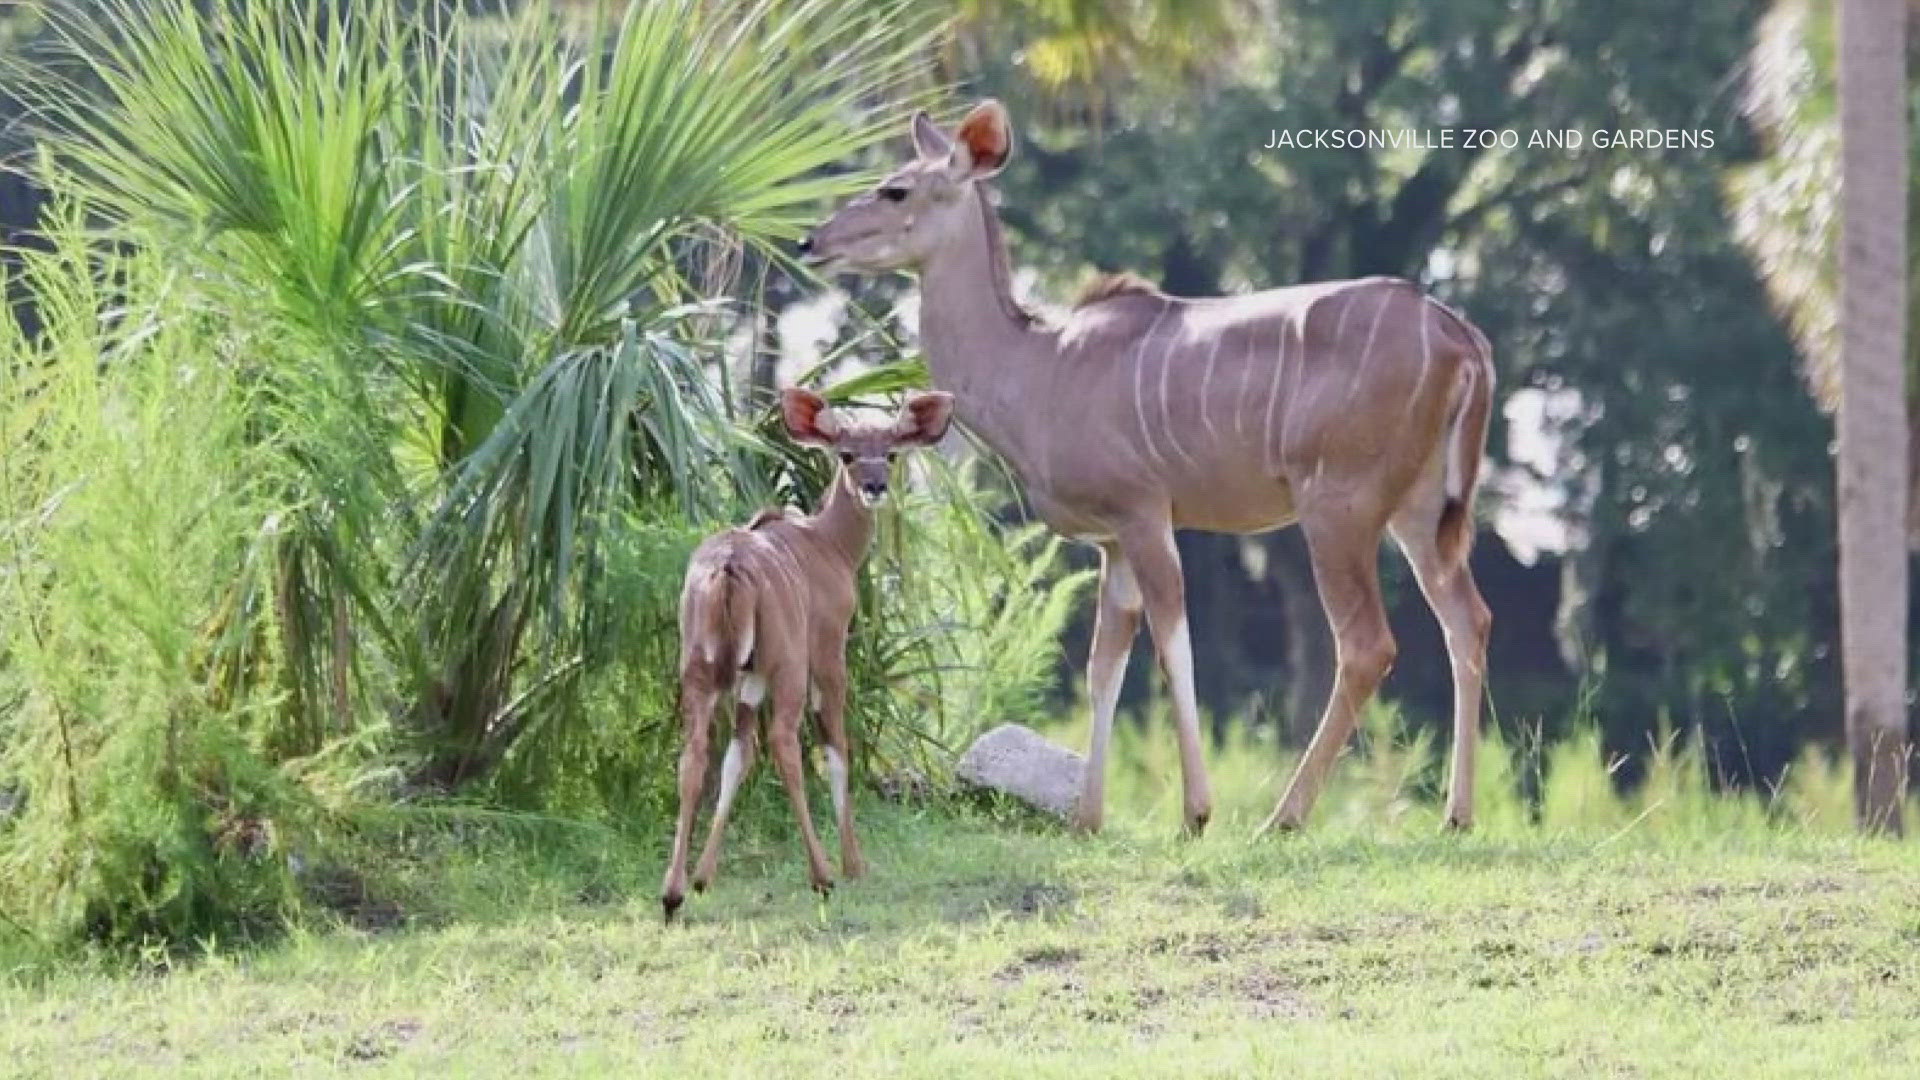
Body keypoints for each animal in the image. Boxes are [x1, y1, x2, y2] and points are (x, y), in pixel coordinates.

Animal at [664, 386, 956, 914]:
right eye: (847, 454)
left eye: (891, 452)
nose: (875, 487)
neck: (828, 544)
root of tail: (729, 566)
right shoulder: (828, 652)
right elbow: (837, 748)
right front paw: (855, 864)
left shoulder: (749, 676)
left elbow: (736, 756)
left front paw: (703, 877)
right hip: (789, 667)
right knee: (786, 743)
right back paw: (822, 876)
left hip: (700, 668)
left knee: (696, 754)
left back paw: (672, 893)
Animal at [806, 100, 1497, 837]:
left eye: (896, 189)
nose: (813, 242)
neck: (1039, 368)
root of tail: (1459, 338)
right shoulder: (1112, 542)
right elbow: (1103, 665)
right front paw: (1086, 817)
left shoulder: (1143, 514)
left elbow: (1171, 646)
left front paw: (1195, 813)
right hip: (1418, 512)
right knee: (1468, 621)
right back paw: (1456, 817)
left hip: (1339, 507)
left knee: (1368, 645)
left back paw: (1281, 818)